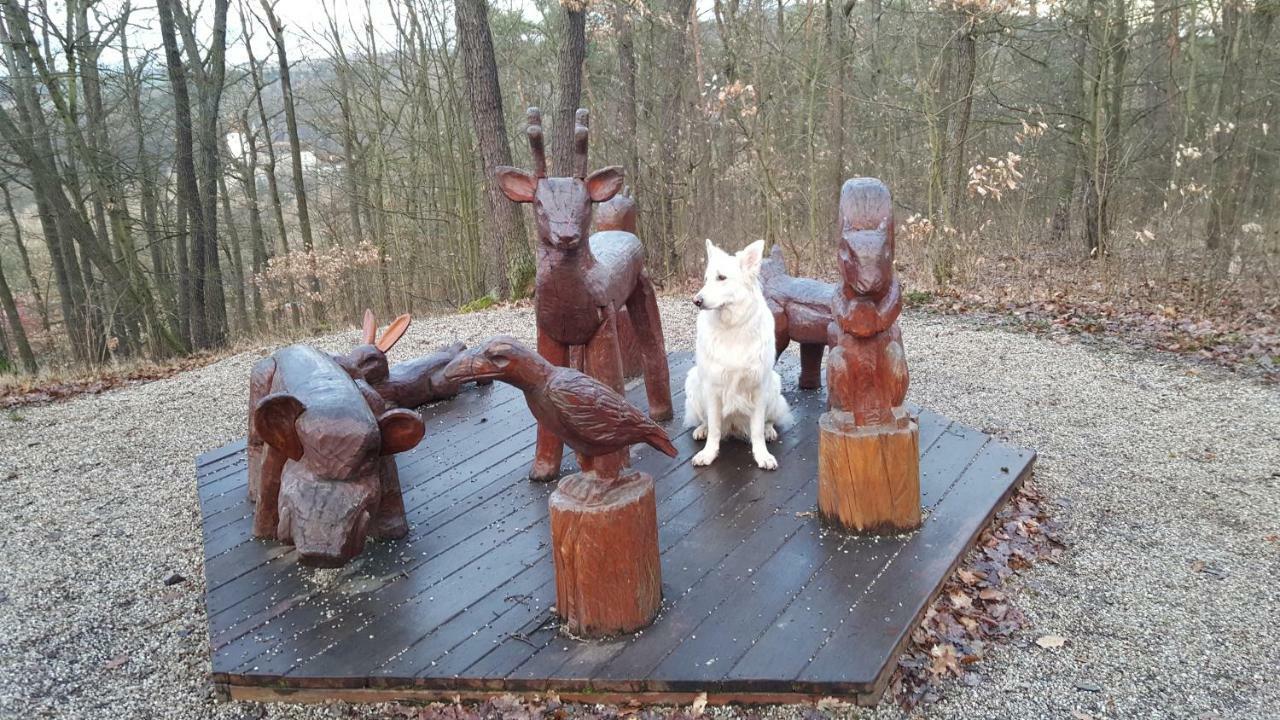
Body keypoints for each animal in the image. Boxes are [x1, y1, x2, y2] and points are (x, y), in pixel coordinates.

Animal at [691, 238, 788, 468]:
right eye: (706, 279)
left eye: (721, 278)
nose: (696, 301)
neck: (731, 328)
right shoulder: (712, 388)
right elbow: (714, 428)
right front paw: (708, 453)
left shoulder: (759, 387)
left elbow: (757, 429)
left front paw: (762, 455)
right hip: (694, 383)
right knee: (706, 421)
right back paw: (701, 429)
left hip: (773, 385)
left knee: (768, 420)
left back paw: (769, 430)